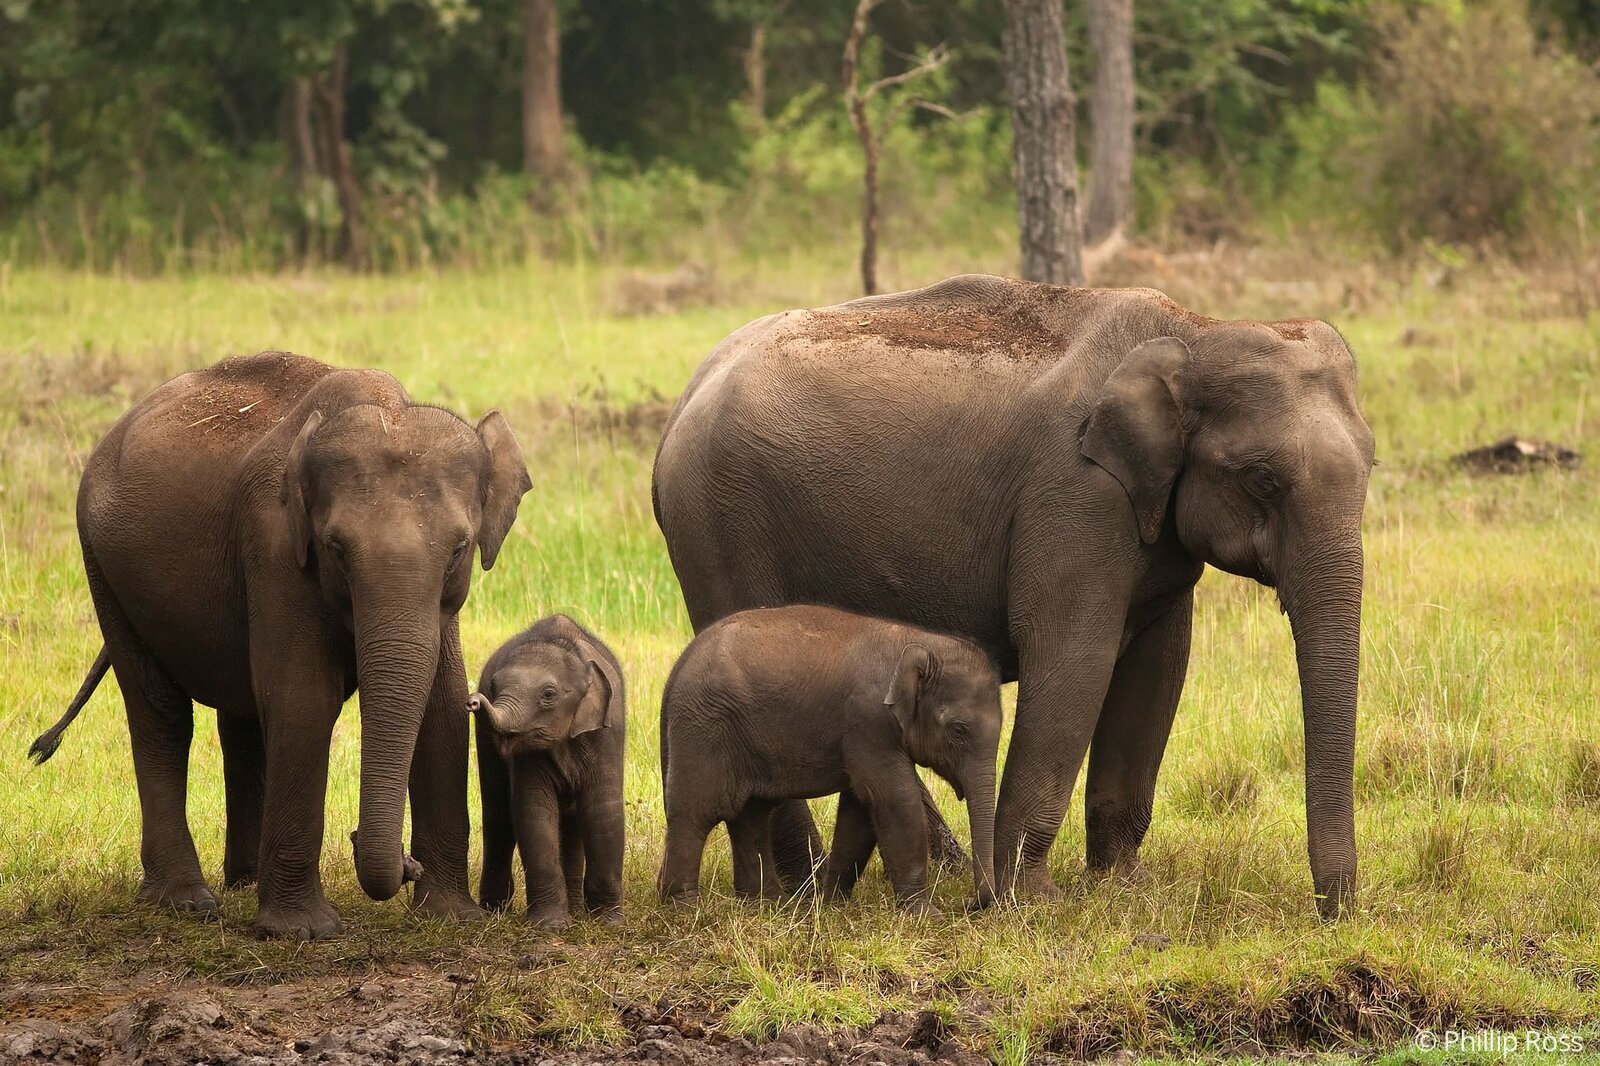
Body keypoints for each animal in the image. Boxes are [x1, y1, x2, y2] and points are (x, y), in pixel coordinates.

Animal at [29, 351, 532, 939]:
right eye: (335, 548)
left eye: (459, 549)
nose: (407, 864)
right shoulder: (273, 546)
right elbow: (303, 700)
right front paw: (302, 933)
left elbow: (442, 701)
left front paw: (452, 918)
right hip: (103, 566)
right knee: (160, 712)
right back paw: (187, 902)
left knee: (240, 716)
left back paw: (243, 883)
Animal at [470, 614, 626, 929]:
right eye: (493, 685)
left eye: (549, 694)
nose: (474, 700)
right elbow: (534, 810)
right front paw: (550, 926)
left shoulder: (606, 733)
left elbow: (603, 809)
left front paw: (609, 924)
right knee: (498, 818)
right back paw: (495, 911)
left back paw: (576, 911)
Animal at [656, 605, 1001, 910]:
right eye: (957, 731)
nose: (968, 904)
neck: (921, 641)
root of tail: (678, 666)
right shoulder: (868, 720)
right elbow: (893, 799)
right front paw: (924, 914)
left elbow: (860, 808)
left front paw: (834, 904)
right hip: (704, 729)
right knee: (698, 812)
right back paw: (685, 908)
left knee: (750, 815)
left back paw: (769, 904)